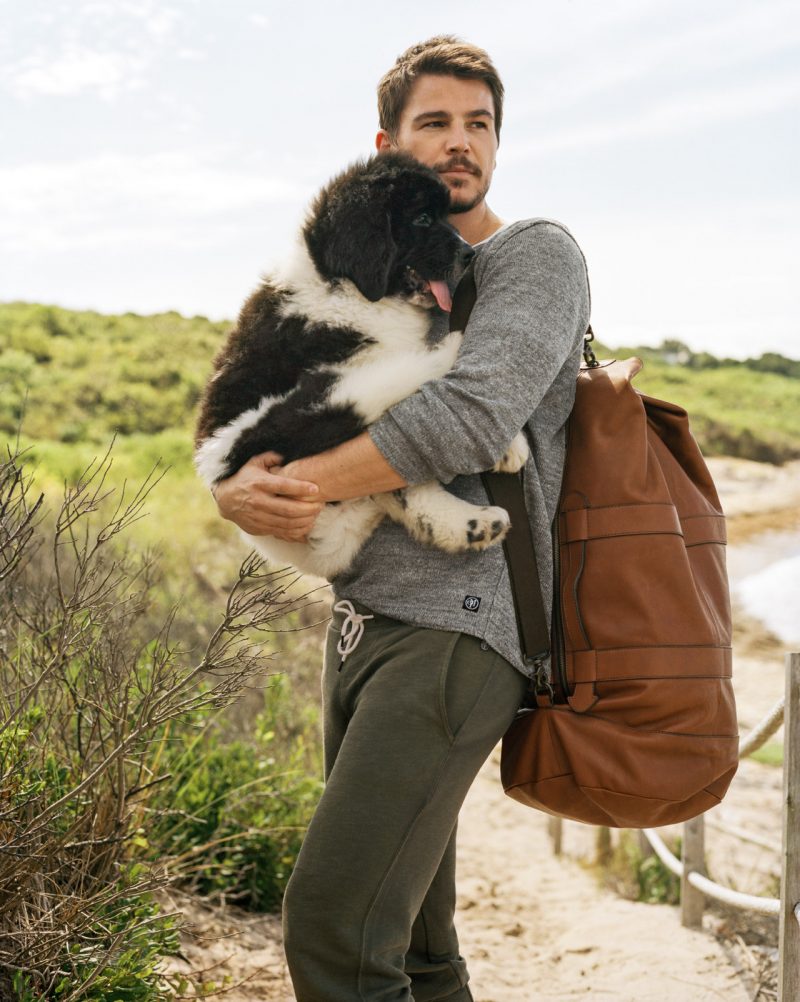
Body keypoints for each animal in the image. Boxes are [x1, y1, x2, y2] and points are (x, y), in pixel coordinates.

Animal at [195, 150, 529, 581]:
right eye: (423, 219)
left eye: (447, 217)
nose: (470, 254)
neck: (346, 286)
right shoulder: (308, 401)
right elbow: (400, 371)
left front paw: (511, 447)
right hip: (259, 431)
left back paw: (475, 525)